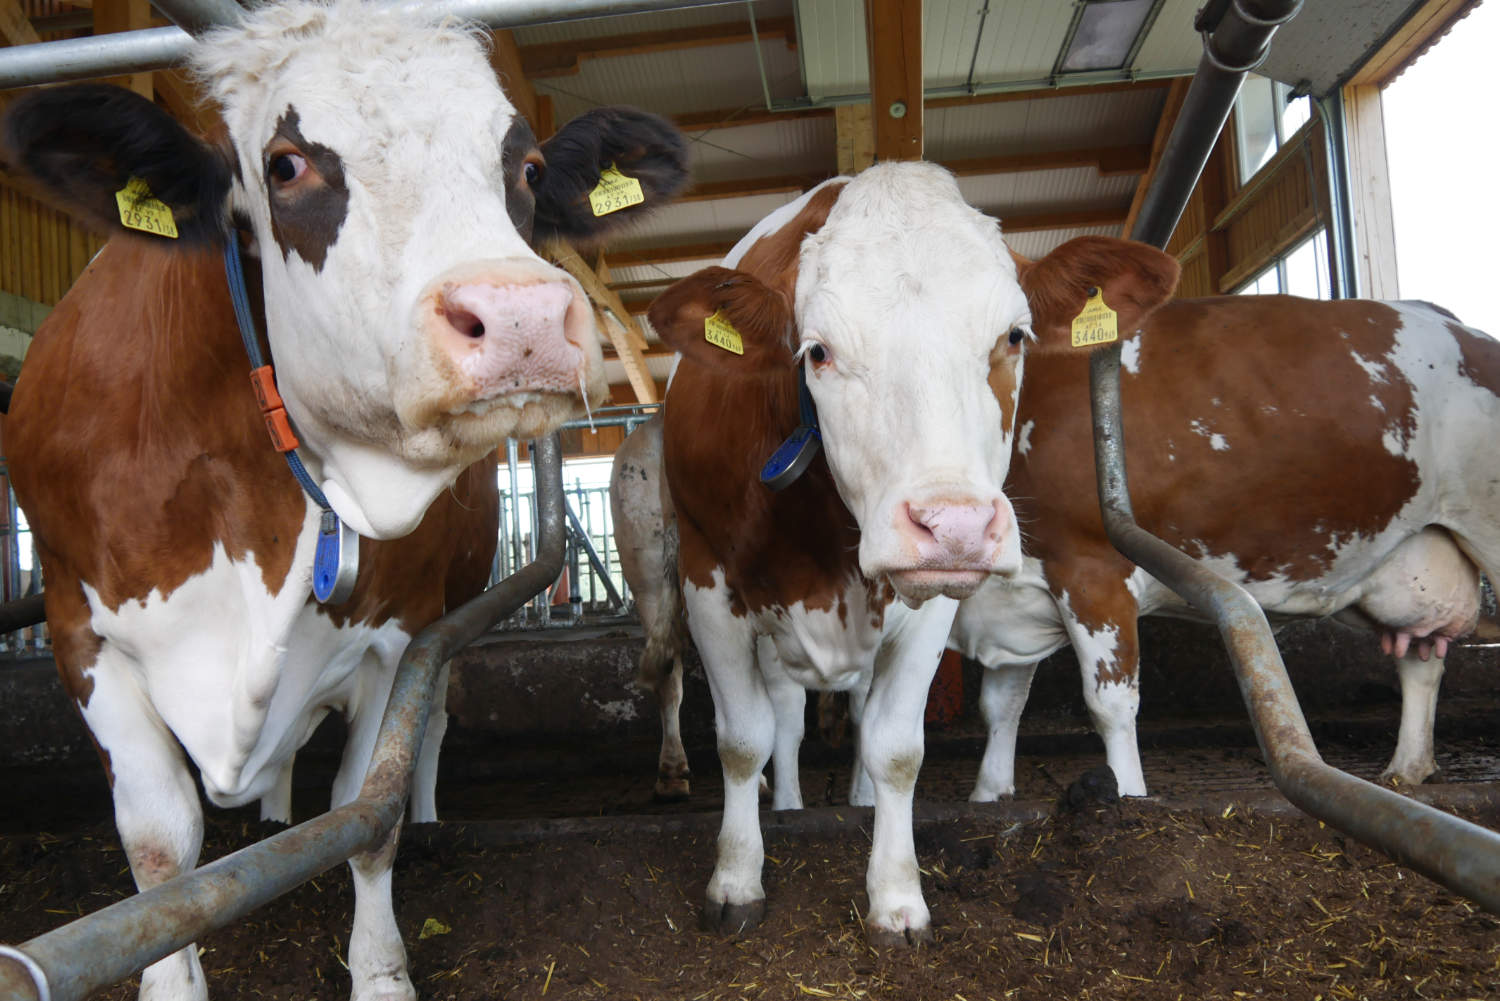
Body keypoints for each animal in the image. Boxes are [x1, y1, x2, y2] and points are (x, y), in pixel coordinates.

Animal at [0, 3, 687, 996]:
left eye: (524, 169)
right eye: (286, 166)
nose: (519, 317)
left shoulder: (398, 632)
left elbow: (369, 811)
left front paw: (380, 969)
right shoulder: (76, 631)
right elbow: (160, 853)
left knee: (429, 727)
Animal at [657, 166, 1182, 948]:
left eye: (1014, 335)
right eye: (817, 351)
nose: (956, 524)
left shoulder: (932, 600)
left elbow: (897, 746)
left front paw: (897, 896)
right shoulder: (707, 583)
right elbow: (744, 739)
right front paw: (736, 881)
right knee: (784, 717)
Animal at [954, 294, 1494, 804]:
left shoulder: (1094, 570)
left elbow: (1110, 705)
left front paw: (1126, 797)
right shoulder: (1016, 589)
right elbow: (1001, 705)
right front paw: (989, 795)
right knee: (1422, 662)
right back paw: (1406, 769)